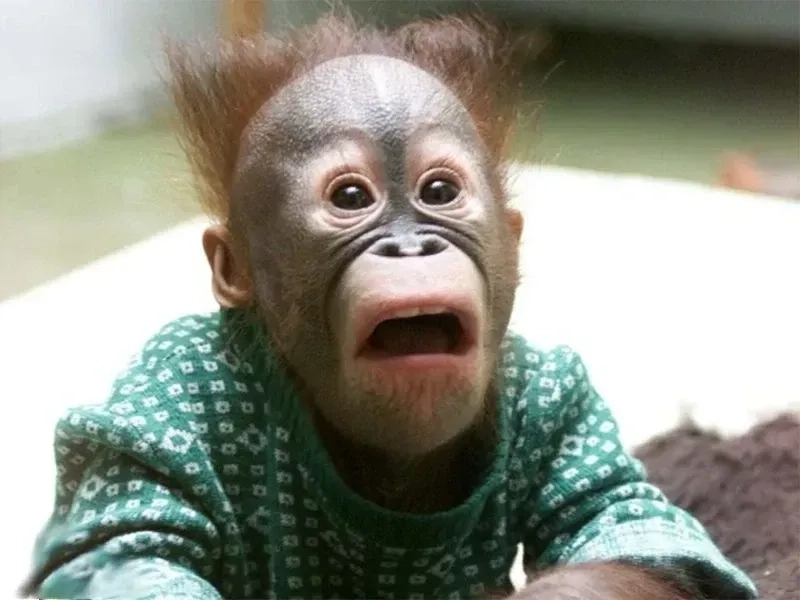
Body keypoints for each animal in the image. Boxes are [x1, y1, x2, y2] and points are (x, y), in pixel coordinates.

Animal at [20, 12, 757, 600]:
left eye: (439, 191)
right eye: (351, 198)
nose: (411, 246)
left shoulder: (561, 396)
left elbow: (630, 522)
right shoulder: (169, 390)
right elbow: (123, 546)